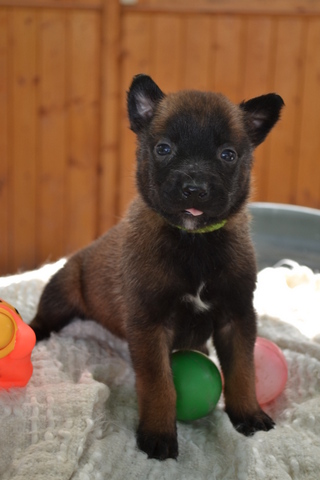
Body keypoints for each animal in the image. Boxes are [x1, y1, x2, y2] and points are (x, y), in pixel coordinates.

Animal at [30, 75, 284, 462]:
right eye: (163, 149)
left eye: (228, 155)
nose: (194, 190)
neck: (194, 243)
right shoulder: (150, 325)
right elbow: (159, 384)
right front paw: (159, 433)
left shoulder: (236, 318)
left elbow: (243, 371)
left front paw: (248, 414)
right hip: (62, 291)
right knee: (45, 317)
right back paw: (34, 333)